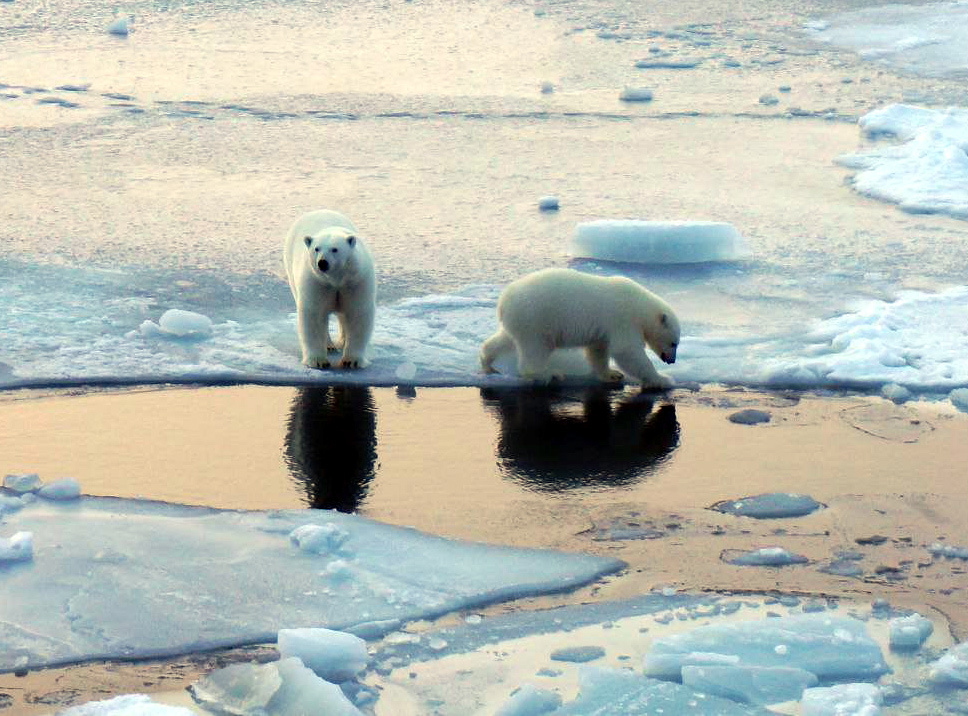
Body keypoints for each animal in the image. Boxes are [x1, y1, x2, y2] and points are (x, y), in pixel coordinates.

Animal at [282, 210, 376, 370]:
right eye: (316, 249)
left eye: (335, 249)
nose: (322, 262)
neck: (336, 279)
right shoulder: (317, 283)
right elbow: (314, 314)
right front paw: (318, 361)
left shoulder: (355, 282)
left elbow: (358, 313)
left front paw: (351, 361)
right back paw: (329, 345)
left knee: (343, 316)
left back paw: (342, 342)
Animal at [482, 268, 680, 388]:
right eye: (673, 343)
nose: (672, 361)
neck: (640, 306)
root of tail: (503, 302)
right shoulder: (623, 320)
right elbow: (627, 351)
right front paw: (663, 379)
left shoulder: (605, 329)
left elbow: (598, 350)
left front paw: (612, 374)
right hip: (536, 320)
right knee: (536, 348)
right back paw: (550, 374)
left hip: (519, 321)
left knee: (505, 339)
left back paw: (488, 363)